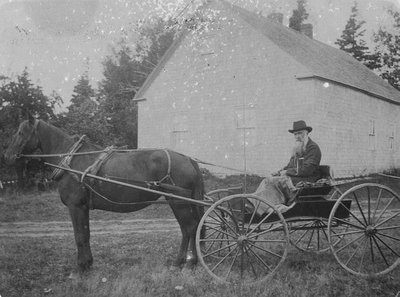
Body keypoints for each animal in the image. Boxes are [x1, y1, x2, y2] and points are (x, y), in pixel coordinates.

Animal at [4, 114, 206, 272]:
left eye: (20, 132)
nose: (7, 156)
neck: (71, 162)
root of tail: (188, 159)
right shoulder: (83, 207)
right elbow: (86, 234)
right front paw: (88, 264)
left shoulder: (75, 206)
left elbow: (79, 236)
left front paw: (81, 268)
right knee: (193, 227)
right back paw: (190, 261)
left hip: (177, 201)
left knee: (189, 228)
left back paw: (183, 262)